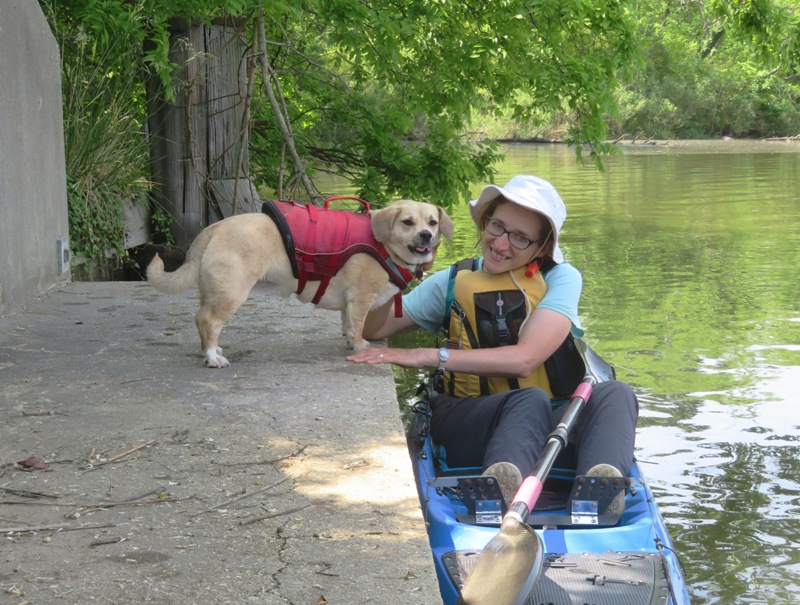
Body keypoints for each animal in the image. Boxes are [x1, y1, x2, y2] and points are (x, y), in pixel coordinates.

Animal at [146, 201, 454, 366]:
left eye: (432, 222)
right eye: (407, 222)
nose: (426, 235)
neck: (385, 246)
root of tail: (215, 227)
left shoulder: (349, 303)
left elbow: (346, 323)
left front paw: (349, 341)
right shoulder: (360, 298)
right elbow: (356, 326)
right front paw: (359, 347)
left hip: (212, 291)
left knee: (201, 318)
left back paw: (209, 350)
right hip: (230, 293)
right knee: (208, 321)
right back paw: (212, 357)